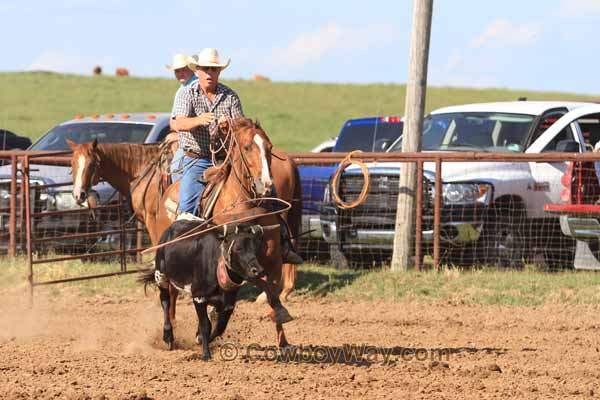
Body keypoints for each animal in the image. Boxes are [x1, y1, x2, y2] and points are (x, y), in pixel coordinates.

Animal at [141, 220, 290, 360]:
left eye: (256, 248)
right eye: (238, 248)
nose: (258, 270)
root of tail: (170, 229)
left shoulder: (228, 304)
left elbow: (219, 327)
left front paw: (200, 339)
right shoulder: (198, 298)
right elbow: (206, 326)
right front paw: (205, 354)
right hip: (161, 276)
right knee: (165, 301)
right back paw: (168, 336)